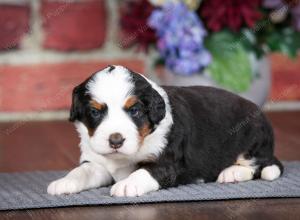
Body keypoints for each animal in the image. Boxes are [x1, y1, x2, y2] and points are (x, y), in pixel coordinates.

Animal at [47, 65, 284, 196]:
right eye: (95, 112)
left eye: (135, 110)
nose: (115, 140)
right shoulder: (97, 162)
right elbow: (83, 171)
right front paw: (64, 182)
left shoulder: (168, 162)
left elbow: (145, 171)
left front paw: (127, 185)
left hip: (254, 139)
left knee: (259, 164)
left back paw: (231, 172)